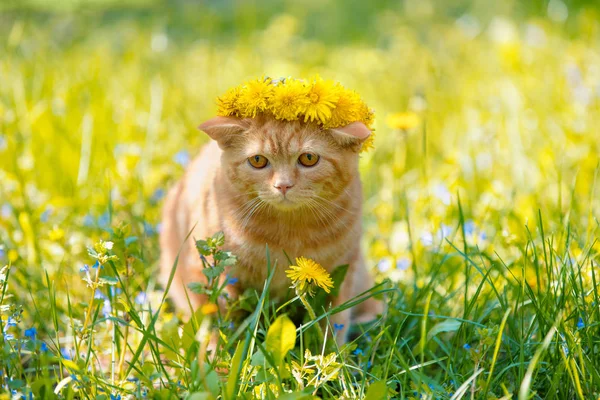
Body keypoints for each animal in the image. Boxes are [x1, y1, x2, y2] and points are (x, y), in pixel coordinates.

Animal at [158, 114, 384, 342]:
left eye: (309, 158)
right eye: (258, 160)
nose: (283, 185)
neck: (289, 233)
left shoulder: (342, 272)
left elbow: (333, 325)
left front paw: (333, 350)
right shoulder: (213, 275)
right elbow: (216, 326)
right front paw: (219, 351)